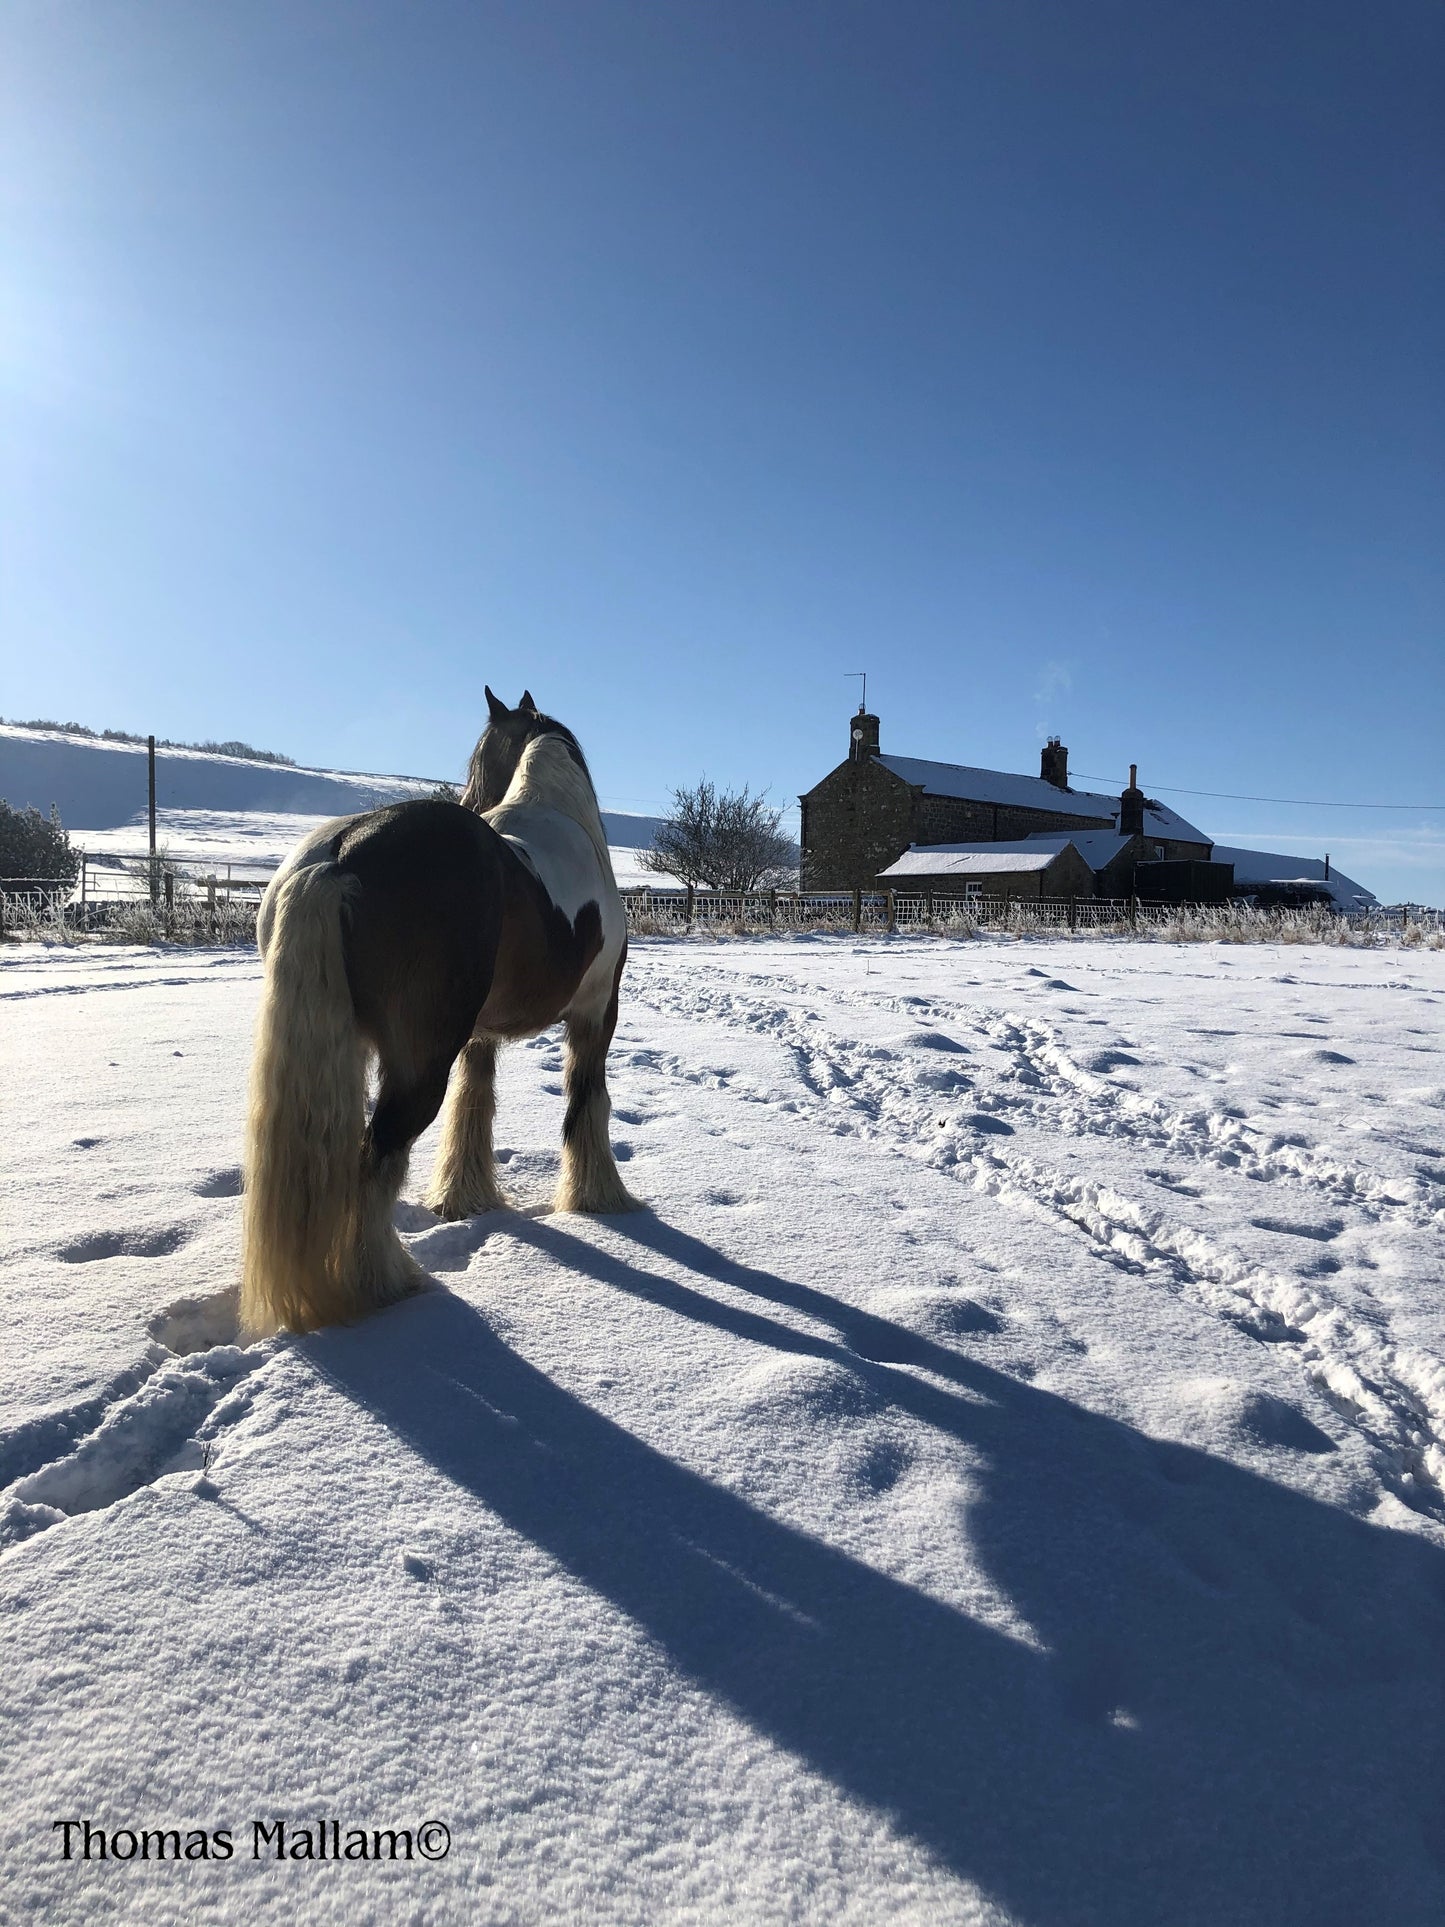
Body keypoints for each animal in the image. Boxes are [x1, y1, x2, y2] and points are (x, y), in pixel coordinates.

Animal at [240, 689, 639, 1337]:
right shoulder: (597, 1013)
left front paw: (464, 1199)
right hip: (417, 1066)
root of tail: (339, 858)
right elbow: (586, 1103)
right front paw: (595, 1197)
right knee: (375, 1158)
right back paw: (386, 1282)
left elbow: (474, 1107)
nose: (473, 801)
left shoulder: (480, 1036)